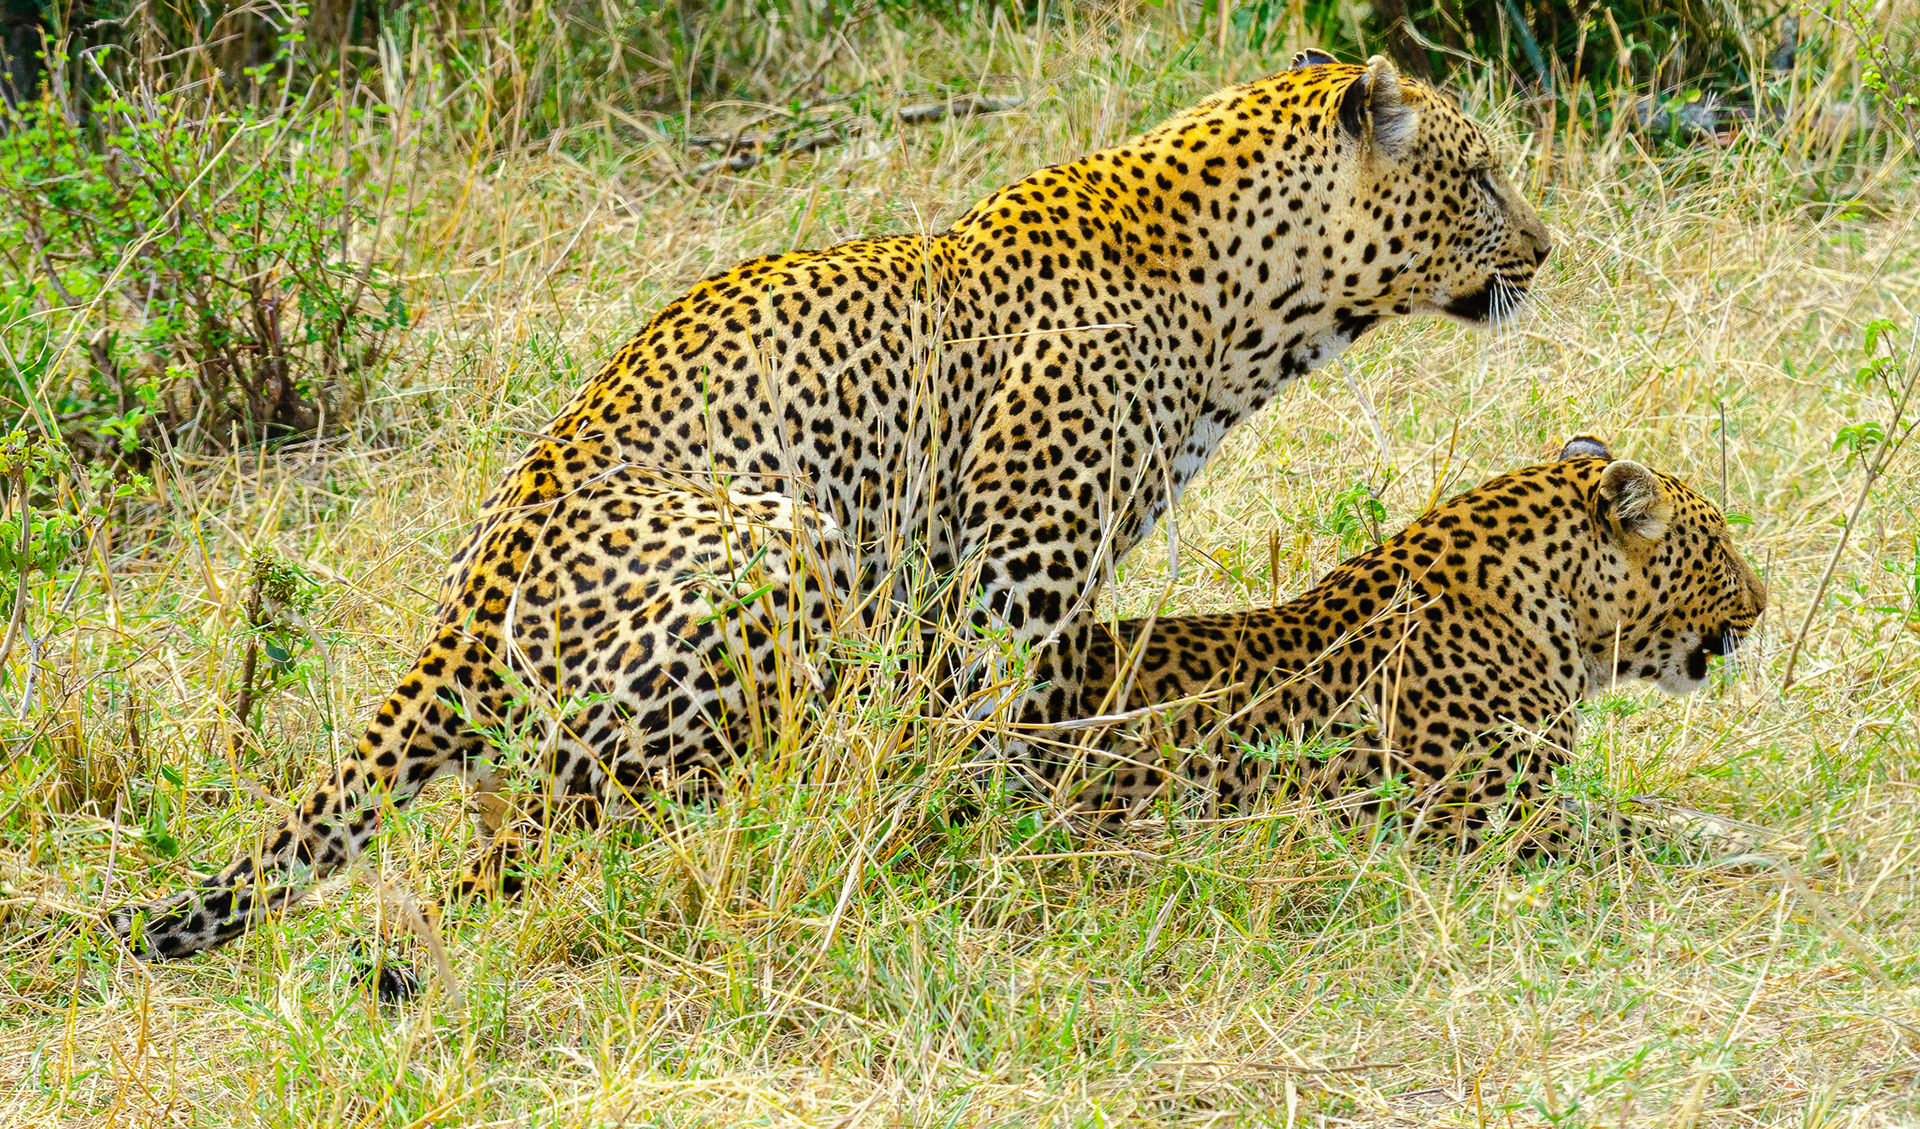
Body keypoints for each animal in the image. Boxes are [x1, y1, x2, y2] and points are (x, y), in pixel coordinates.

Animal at [105, 51, 1552, 963]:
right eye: (1480, 177)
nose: (1547, 252)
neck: (1254, 306)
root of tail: (462, 614)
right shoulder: (1017, 566)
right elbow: (981, 729)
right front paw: (1004, 861)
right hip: (778, 542)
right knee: (534, 854)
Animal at [1066, 437, 1767, 848]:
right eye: (1718, 547)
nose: (1763, 604)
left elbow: (1643, 808)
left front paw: (1734, 826)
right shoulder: (1499, 819)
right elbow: (1636, 834)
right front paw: (1762, 849)